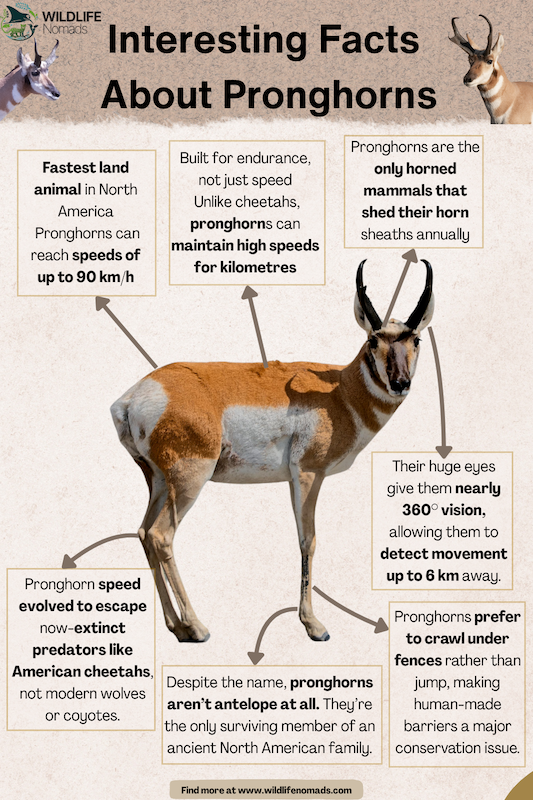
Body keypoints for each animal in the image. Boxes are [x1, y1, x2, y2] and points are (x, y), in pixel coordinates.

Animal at [111, 261, 434, 643]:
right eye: (373, 340)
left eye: (416, 339)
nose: (400, 383)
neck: (340, 391)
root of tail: (134, 396)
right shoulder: (309, 473)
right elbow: (308, 540)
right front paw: (314, 626)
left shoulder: (295, 478)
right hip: (189, 481)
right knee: (161, 536)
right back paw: (197, 627)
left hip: (159, 482)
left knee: (143, 533)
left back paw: (176, 627)